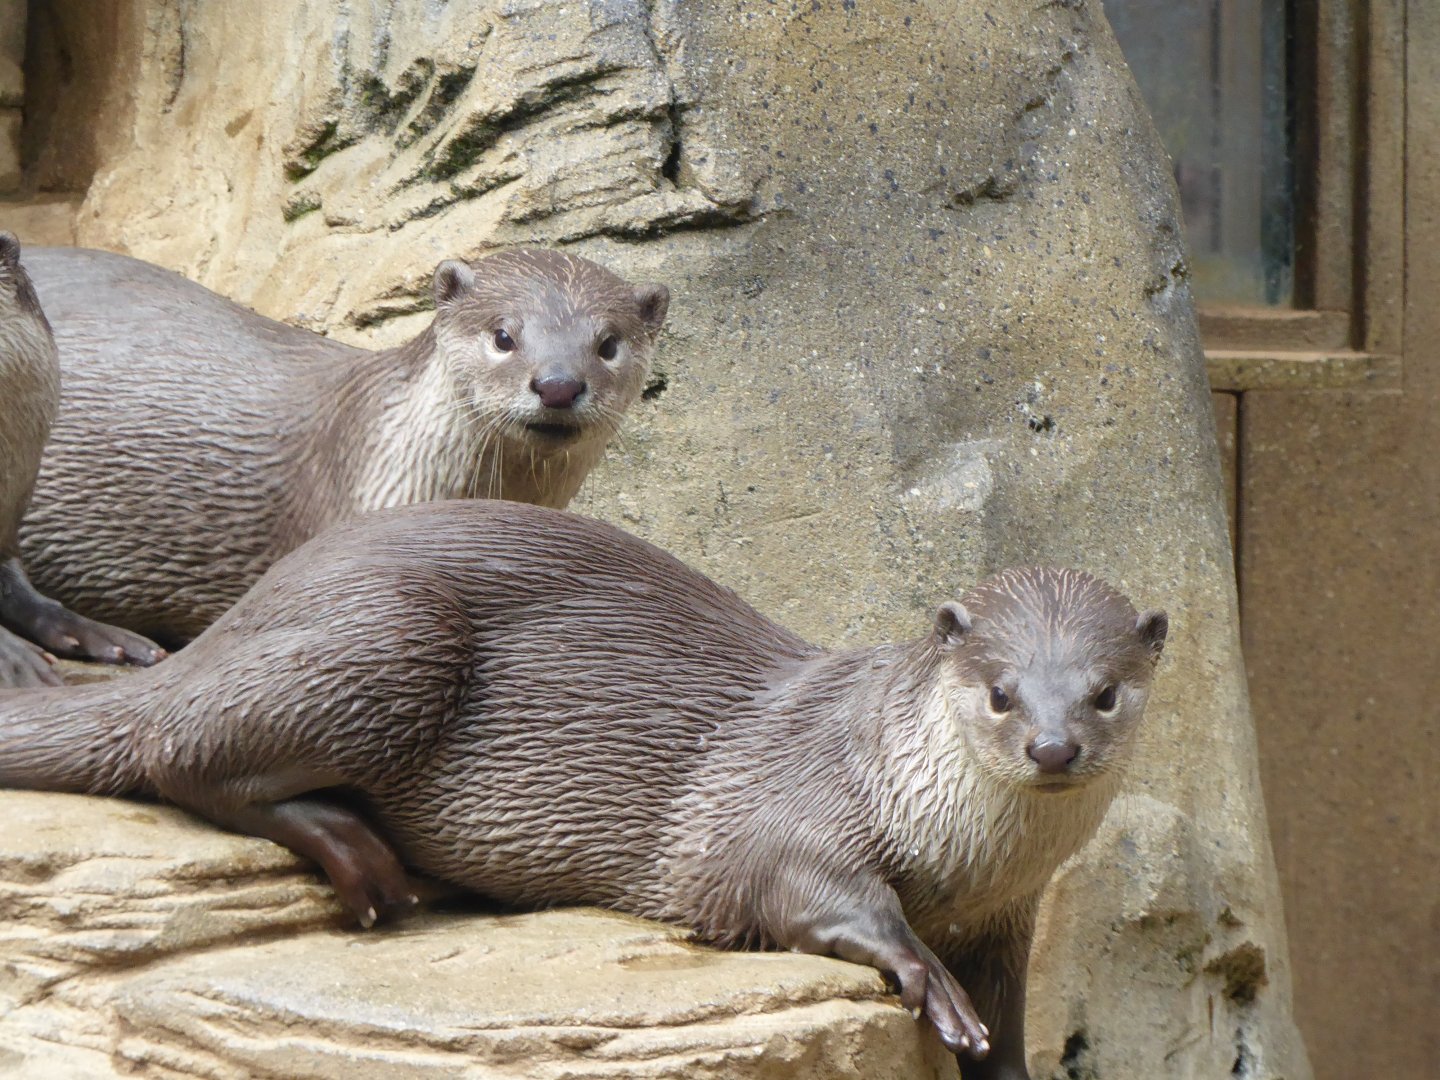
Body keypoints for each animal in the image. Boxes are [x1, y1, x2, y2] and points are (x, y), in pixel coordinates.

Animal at [0, 501, 1166, 1077]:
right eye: (1002, 693)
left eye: (1104, 693)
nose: (1053, 747)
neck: (960, 857)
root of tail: (245, 612)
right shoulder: (787, 806)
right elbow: (810, 893)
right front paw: (922, 977)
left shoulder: (1010, 921)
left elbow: (1013, 1019)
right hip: (389, 632)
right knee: (176, 749)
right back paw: (364, 860)